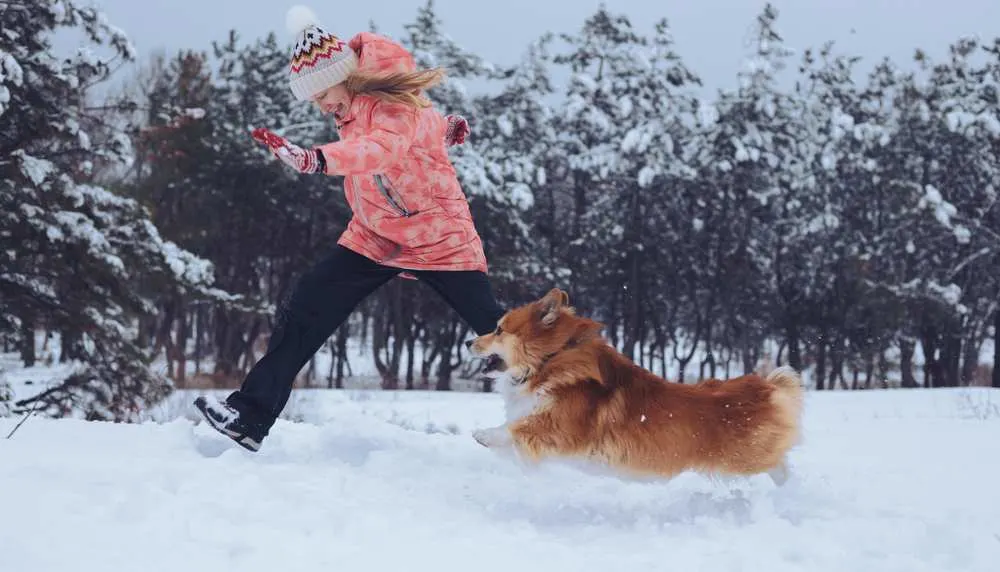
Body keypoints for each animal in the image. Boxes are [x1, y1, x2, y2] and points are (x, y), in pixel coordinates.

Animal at [466, 288, 803, 486]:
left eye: (498, 330)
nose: (469, 341)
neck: (551, 359)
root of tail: (767, 388)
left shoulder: (560, 427)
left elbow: (516, 429)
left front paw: (483, 434)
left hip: (745, 460)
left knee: (779, 466)